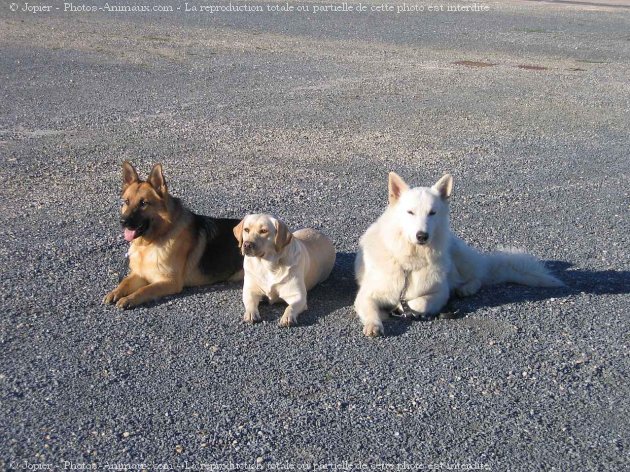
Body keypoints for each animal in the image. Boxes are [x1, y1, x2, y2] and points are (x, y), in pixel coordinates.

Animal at [103, 162, 244, 310]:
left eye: (143, 203)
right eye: (126, 202)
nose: (122, 222)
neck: (153, 241)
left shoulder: (170, 282)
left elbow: (145, 289)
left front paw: (128, 299)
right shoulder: (139, 274)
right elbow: (125, 282)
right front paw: (115, 292)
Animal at [354, 171, 564, 338]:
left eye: (432, 213)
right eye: (410, 212)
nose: (422, 236)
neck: (409, 263)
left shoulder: (439, 293)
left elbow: (419, 302)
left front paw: (399, 308)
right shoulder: (366, 295)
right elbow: (370, 309)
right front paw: (375, 322)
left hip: (459, 257)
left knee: (478, 277)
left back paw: (466, 289)